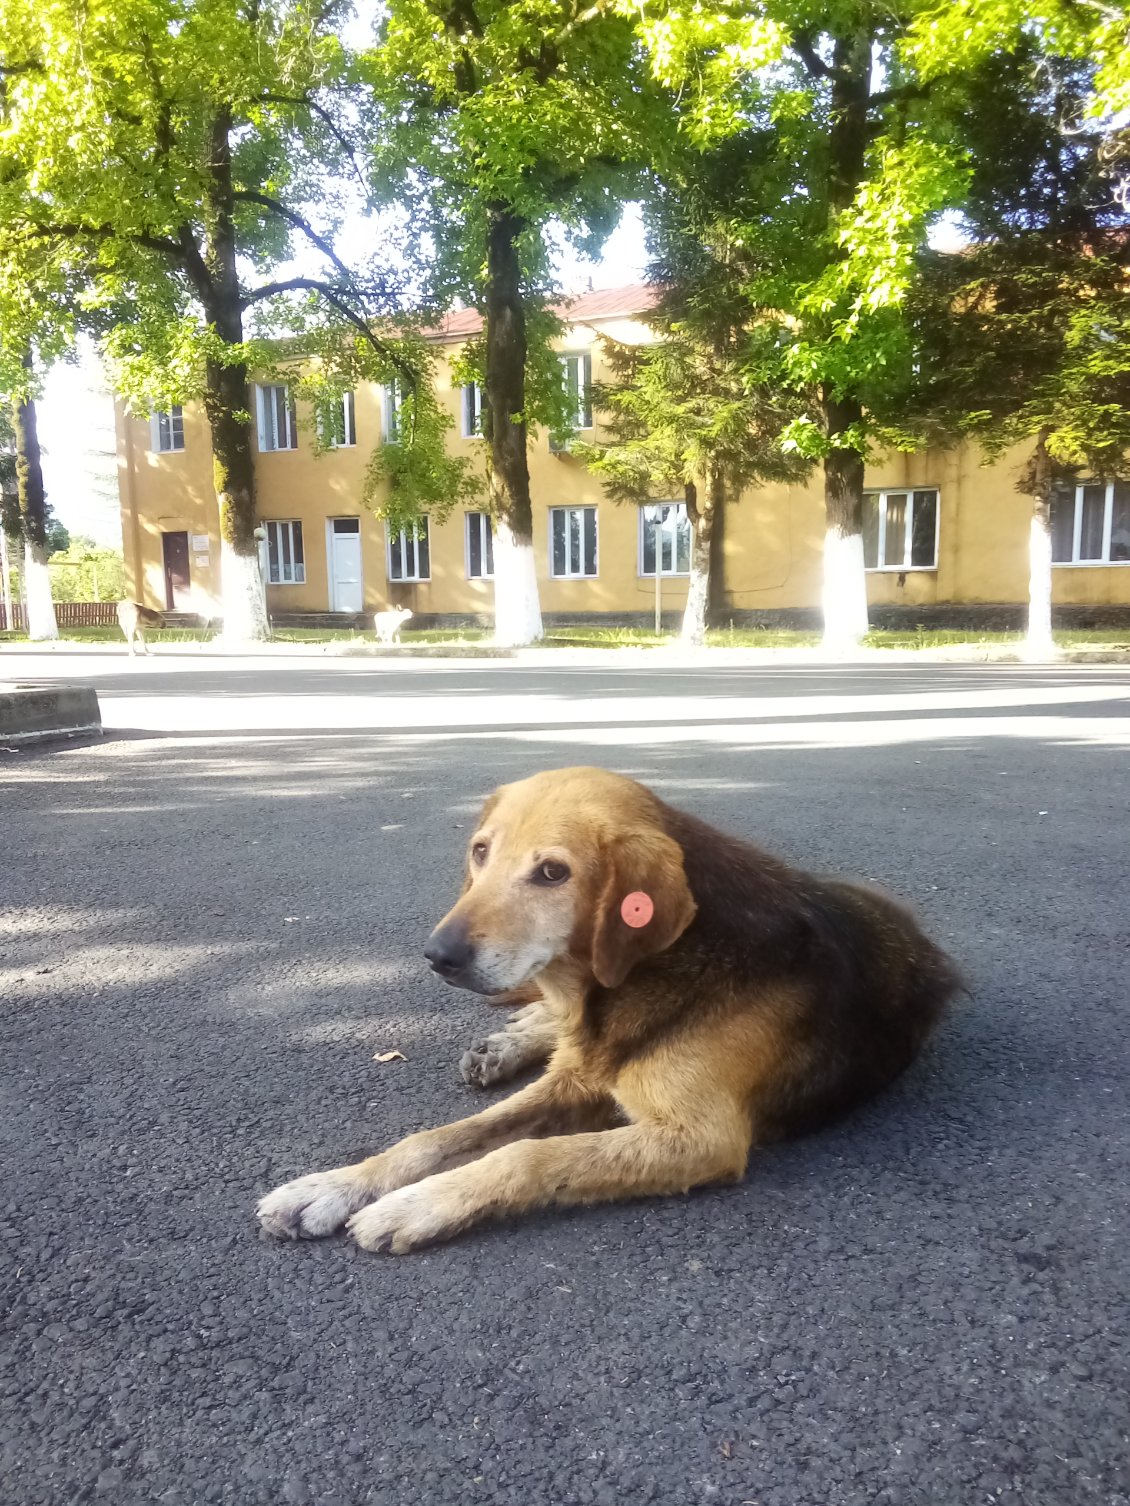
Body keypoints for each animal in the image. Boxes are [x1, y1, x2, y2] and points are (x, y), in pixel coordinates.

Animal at [259, 771, 964, 1252]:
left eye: (552, 872)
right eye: (481, 852)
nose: (438, 956)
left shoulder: (701, 1139)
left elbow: (525, 1157)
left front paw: (416, 1205)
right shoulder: (576, 1079)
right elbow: (434, 1138)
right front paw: (331, 1186)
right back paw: (511, 1040)